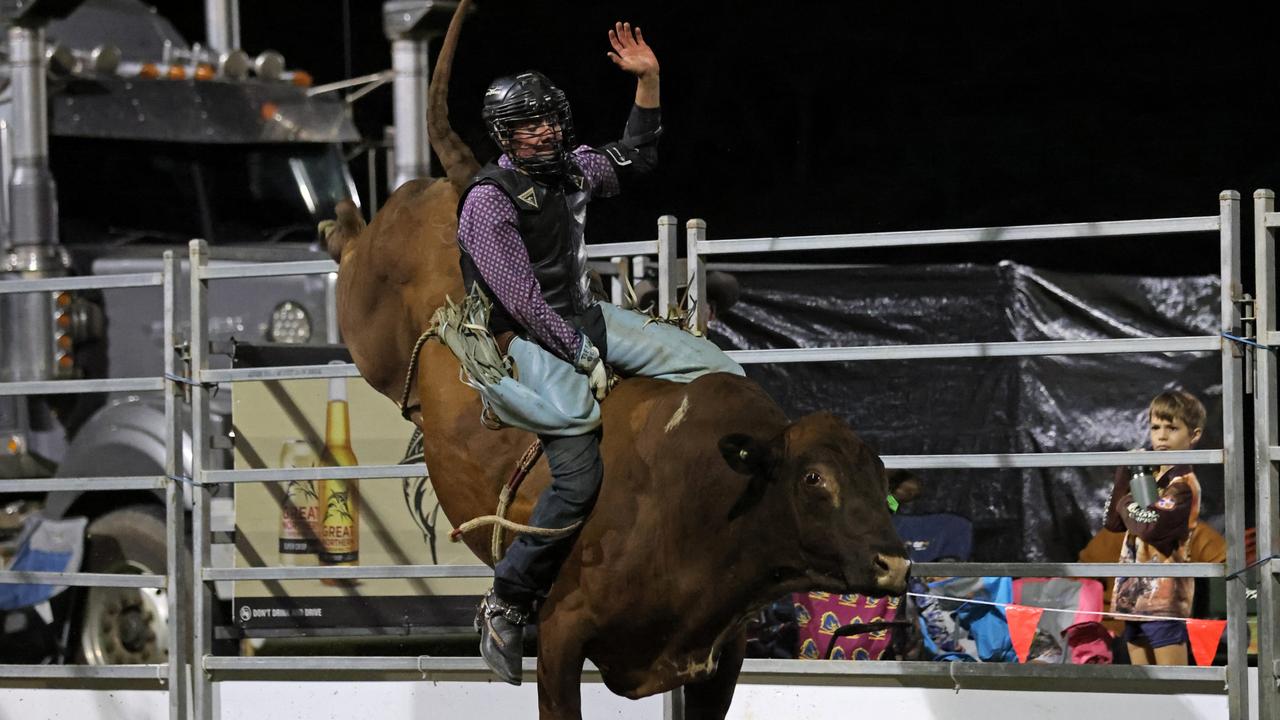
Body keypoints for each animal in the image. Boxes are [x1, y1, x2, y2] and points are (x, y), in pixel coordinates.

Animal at [330, 2, 911, 712]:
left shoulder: (720, 652)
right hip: (370, 319)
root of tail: (466, 186)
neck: (705, 497)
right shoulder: (561, 632)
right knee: (354, 258)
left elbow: (627, 158)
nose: (895, 564)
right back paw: (336, 221)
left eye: (881, 479)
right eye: (814, 480)